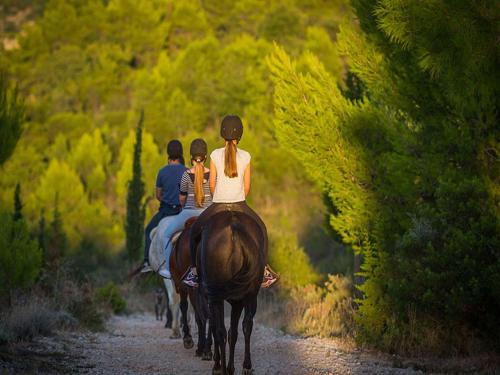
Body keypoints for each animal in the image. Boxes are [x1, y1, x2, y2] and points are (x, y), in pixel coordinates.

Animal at [196, 212, 266, 375]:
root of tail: (235, 228)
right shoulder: (237, 301)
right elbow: (233, 332)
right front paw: (230, 367)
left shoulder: (212, 298)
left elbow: (216, 327)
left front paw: (218, 364)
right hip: (249, 294)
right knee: (245, 325)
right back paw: (246, 366)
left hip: (216, 297)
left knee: (220, 330)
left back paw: (220, 367)